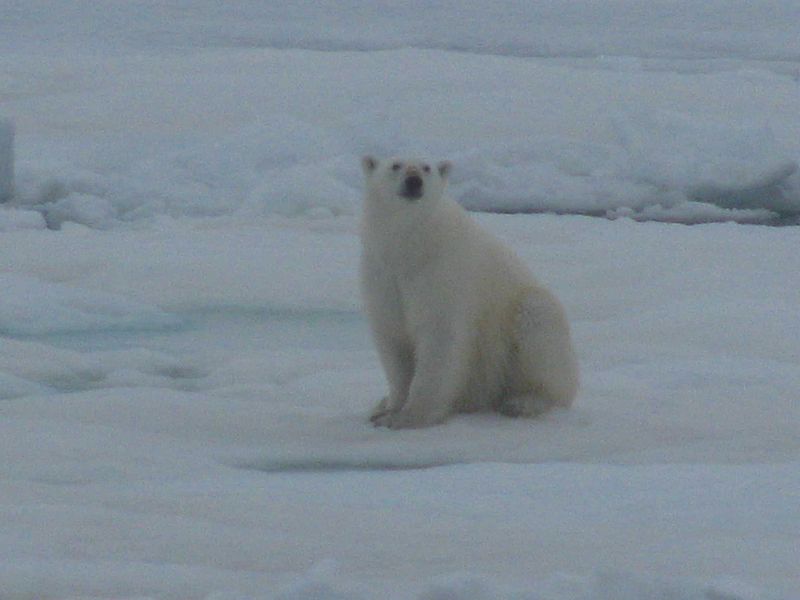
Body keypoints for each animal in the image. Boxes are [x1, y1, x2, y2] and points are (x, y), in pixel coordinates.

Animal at [360, 156, 579, 429]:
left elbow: (440, 339)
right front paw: (388, 410)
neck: (411, 247)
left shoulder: (442, 274)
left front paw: (411, 416)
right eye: (396, 165)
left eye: (426, 167)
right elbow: (394, 338)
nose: (414, 181)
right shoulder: (383, 275)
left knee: (538, 324)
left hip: (527, 321)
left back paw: (523, 402)